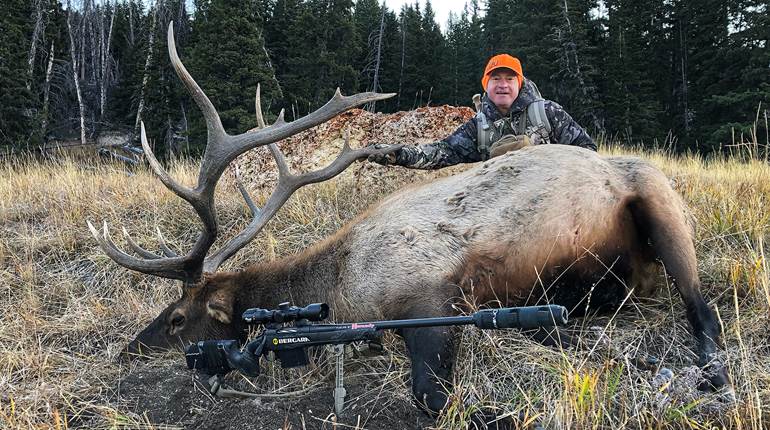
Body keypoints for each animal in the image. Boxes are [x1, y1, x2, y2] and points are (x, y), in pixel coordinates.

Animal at [89, 23, 729, 415]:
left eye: (177, 318)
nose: (127, 350)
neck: (338, 287)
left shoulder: (432, 298)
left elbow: (430, 395)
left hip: (661, 203)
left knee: (705, 310)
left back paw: (712, 376)